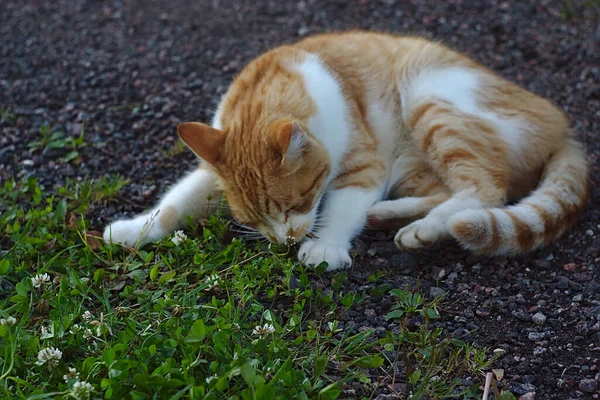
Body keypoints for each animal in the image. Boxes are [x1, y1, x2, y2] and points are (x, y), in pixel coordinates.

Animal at [103, 30, 592, 268]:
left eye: (295, 204)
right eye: (251, 220)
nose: (285, 242)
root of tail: (565, 127)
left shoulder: (364, 165)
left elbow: (341, 209)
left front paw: (324, 246)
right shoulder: (208, 174)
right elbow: (173, 204)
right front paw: (134, 229)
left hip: (429, 95)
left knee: (484, 190)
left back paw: (426, 229)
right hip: (415, 161)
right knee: (445, 190)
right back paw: (391, 215)